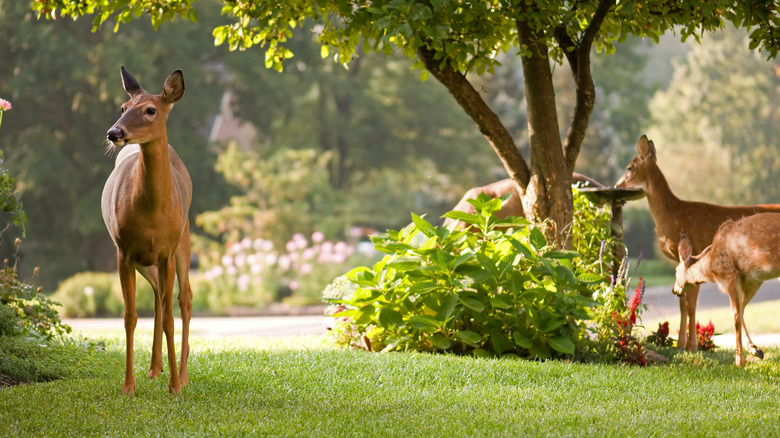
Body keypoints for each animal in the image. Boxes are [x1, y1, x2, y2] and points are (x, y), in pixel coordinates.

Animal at [102, 66, 193, 396]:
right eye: (123, 107)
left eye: (151, 110)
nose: (114, 133)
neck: (152, 214)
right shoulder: (123, 251)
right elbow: (130, 318)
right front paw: (129, 386)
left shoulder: (167, 249)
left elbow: (170, 318)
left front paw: (175, 387)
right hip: (144, 259)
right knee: (157, 295)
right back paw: (155, 368)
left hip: (184, 240)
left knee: (184, 299)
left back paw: (182, 374)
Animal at [672, 214, 780, 368]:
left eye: (675, 271)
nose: (674, 290)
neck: (710, 266)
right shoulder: (753, 280)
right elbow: (741, 311)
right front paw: (755, 350)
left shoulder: (730, 275)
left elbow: (735, 316)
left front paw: (739, 361)